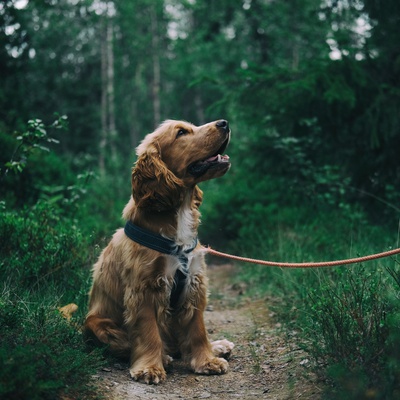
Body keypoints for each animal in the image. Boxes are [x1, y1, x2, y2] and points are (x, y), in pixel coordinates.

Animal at [84, 119, 234, 384]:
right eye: (181, 132)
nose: (224, 122)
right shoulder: (144, 288)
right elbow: (148, 332)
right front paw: (150, 368)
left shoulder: (194, 282)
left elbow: (198, 329)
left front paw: (207, 360)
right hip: (96, 323)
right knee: (128, 343)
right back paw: (164, 357)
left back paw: (217, 346)